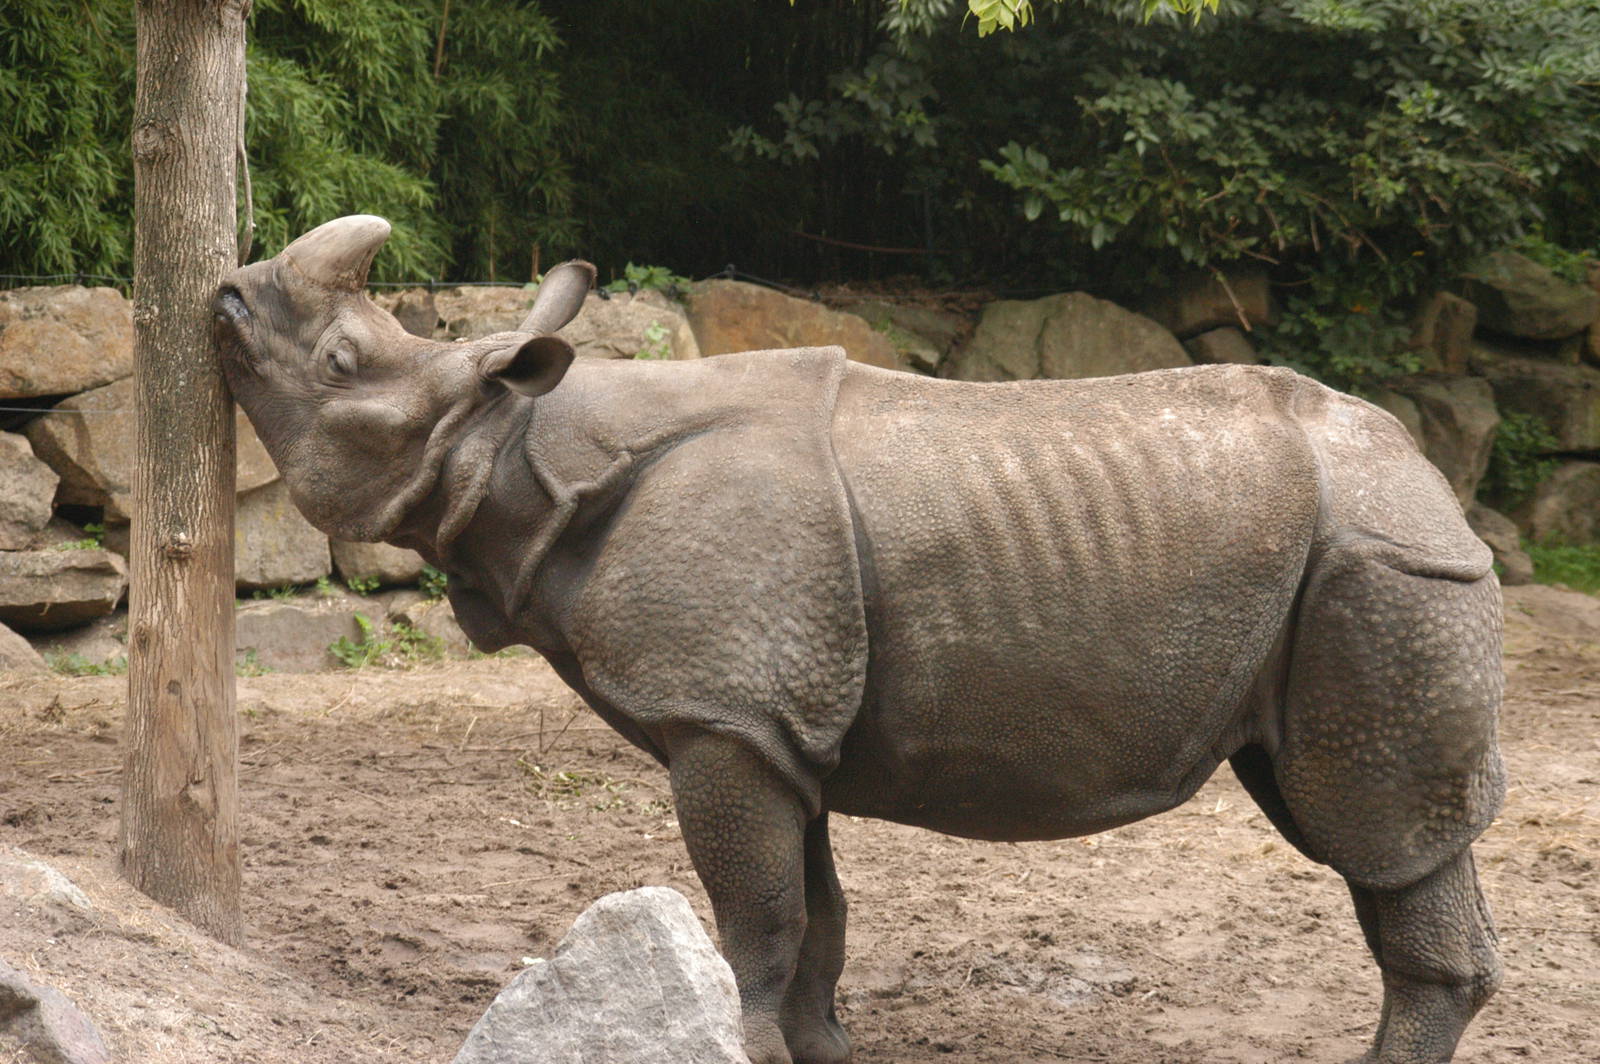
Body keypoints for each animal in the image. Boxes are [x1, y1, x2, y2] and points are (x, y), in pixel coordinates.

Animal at [215, 216, 1505, 1064]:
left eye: (338, 364)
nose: (224, 293)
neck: (516, 440)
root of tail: (1430, 476)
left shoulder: (723, 715)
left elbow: (760, 911)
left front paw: (737, 1040)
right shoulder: (775, 718)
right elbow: (816, 910)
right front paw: (820, 1046)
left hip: (1380, 566)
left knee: (1375, 826)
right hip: (1355, 562)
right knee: (1365, 830)